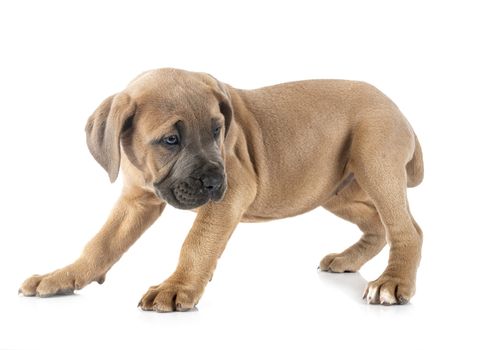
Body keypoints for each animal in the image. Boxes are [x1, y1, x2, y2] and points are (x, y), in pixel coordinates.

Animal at [18, 67, 424, 308]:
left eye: (217, 130)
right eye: (170, 140)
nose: (215, 181)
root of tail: (397, 109)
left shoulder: (231, 195)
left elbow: (197, 241)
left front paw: (177, 286)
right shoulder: (136, 202)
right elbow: (101, 243)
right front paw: (62, 277)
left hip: (375, 165)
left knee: (406, 229)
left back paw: (391, 283)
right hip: (332, 190)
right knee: (379, 225)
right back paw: (347, 259)